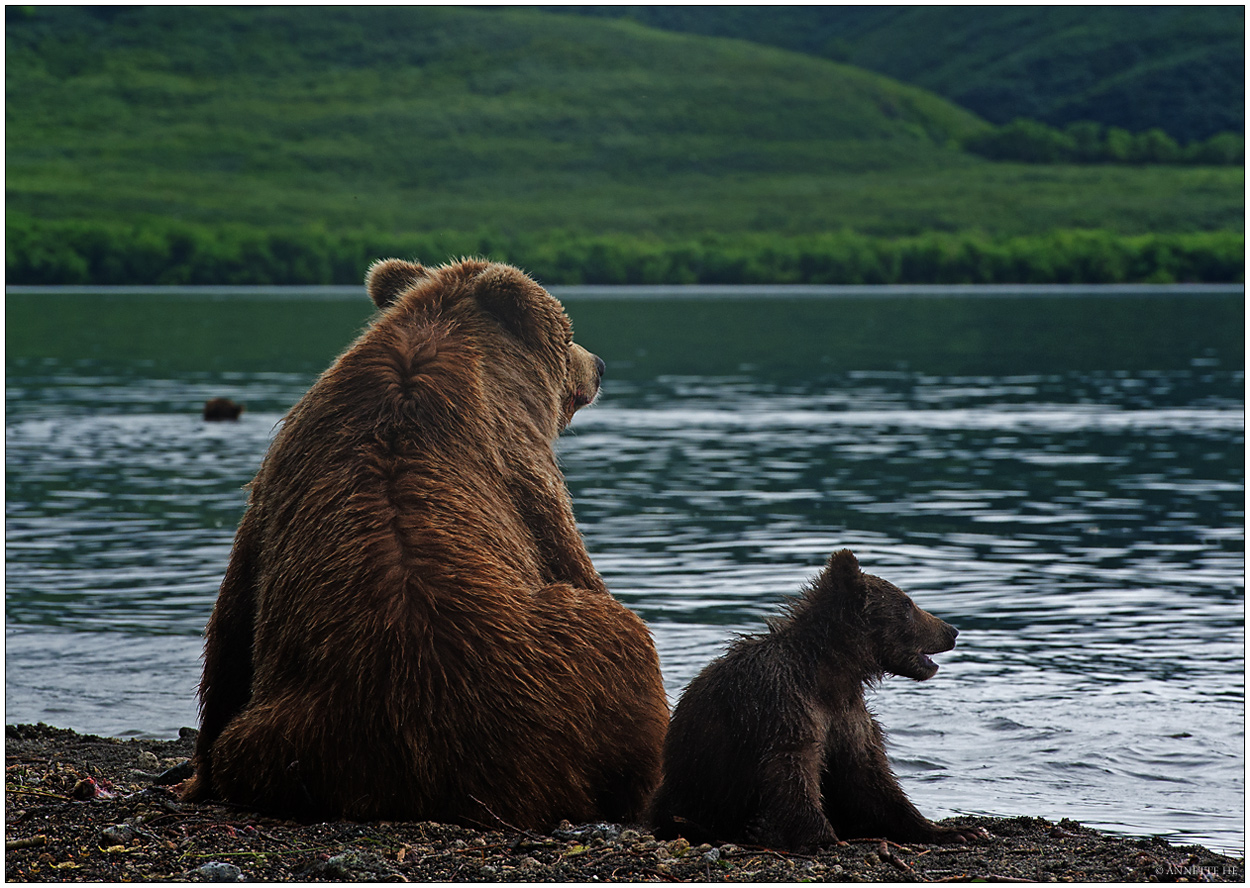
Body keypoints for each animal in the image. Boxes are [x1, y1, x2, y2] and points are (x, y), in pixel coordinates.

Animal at [182, 257, 670, 825]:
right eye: (568, 334)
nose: (599, 365)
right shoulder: (525, 476)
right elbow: (573, 561)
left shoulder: (280, 476)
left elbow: (235, 611)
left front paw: (195, 777)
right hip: (557, 677)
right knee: (623, 636)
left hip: (284, 733)